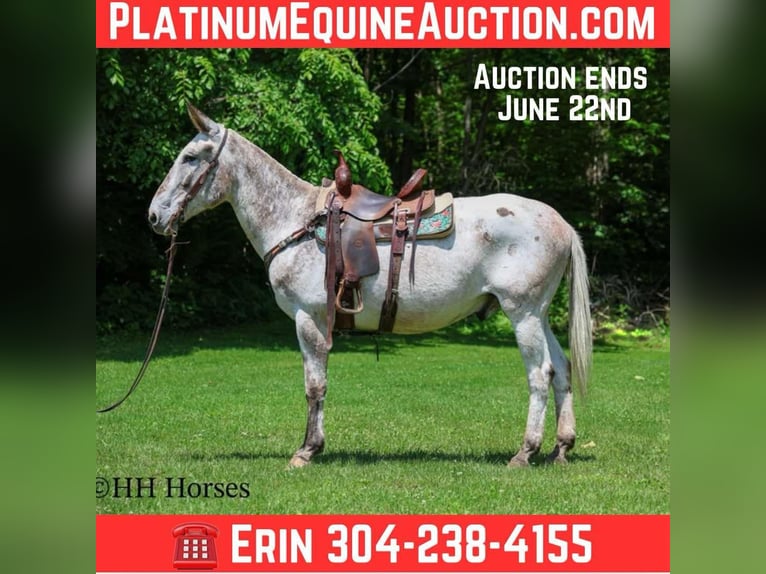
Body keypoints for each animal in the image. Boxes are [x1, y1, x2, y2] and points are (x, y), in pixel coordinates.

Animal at [148, 104, 592, 468]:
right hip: (539, 314)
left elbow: (314, 385)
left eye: (190, 157)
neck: (296, 220)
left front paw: (307, 450)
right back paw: (561, 447)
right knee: (562, 369)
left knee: (541, 374)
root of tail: (560, 222)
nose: (154, 215)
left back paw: (526, 452)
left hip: (523, 313)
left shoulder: (309, 318)